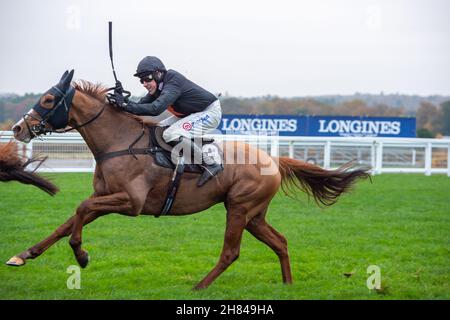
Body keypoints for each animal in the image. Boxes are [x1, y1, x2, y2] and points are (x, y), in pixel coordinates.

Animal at [9, 70, 370, 290]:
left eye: (48, 100)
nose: (17, 128)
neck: (119, 142)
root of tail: (273, 160)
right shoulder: (107, 198)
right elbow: (69, 221)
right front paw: (23, 255)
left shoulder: (131, 202)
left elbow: (81, 210)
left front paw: (82, 256)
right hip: (254, 214)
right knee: (279, 241)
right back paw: (287, 284)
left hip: (239, 209)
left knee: (231, 252)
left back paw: (200, 286)